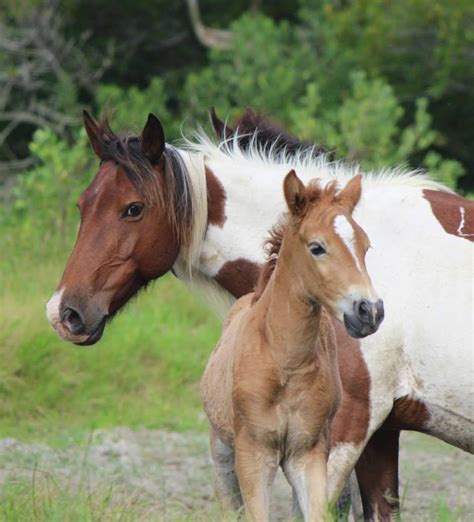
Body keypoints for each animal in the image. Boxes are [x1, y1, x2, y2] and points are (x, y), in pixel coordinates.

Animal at [200, 172, 382, 520]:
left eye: (366, 247)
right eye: (317, 247)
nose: (370, 311)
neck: (285, 364)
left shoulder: (308, 454)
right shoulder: (254, 455)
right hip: (221, 452)